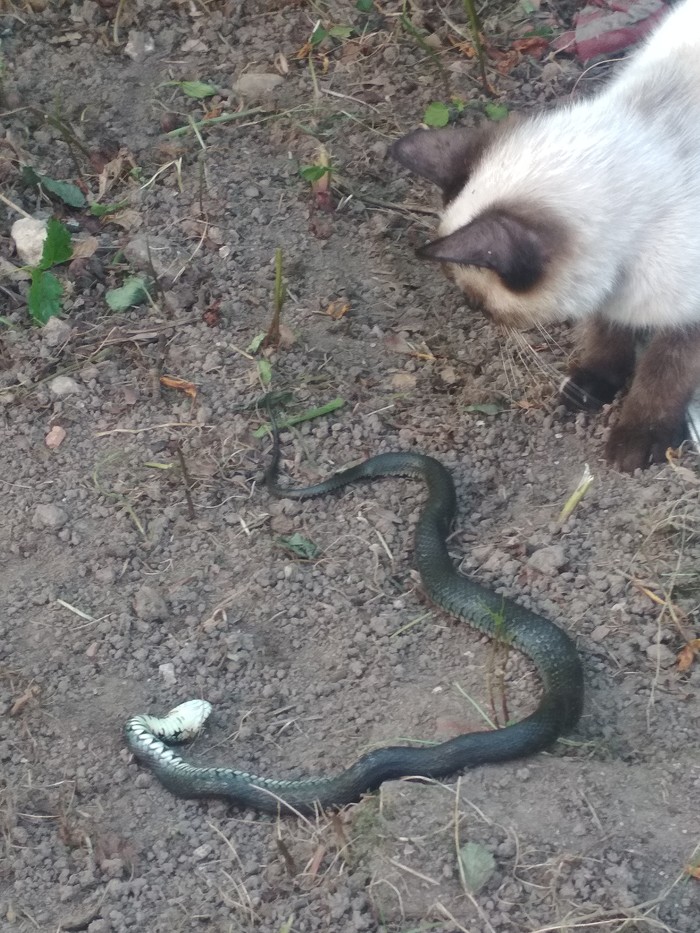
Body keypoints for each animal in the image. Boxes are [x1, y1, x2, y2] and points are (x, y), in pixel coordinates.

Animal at [392, 1, 700, 474]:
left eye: (475, 303)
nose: (480, 318)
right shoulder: (609, 298)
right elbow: (605, 338)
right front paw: (589, 387)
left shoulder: (687, 319)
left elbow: (662, 378)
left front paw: (637, 439)